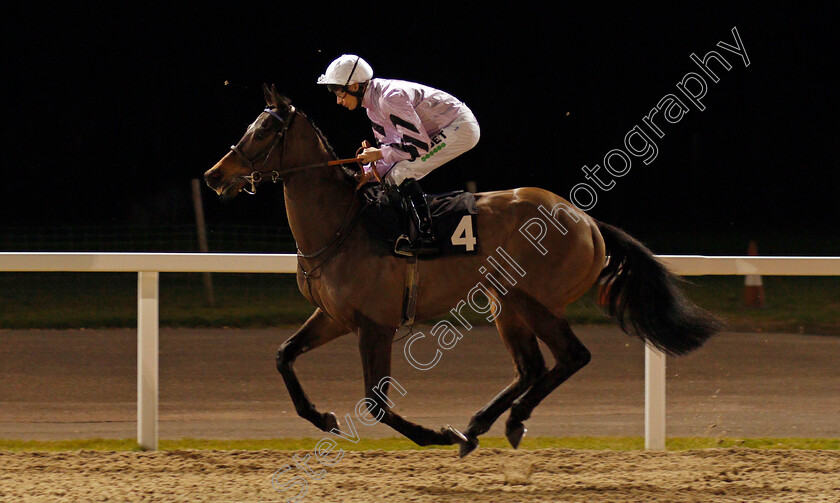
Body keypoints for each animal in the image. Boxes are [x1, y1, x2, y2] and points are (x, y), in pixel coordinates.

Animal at [203, 84, 720, 458]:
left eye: (262, 132)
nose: (214, 176)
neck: (340, 224)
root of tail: (587, 221)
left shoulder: (375, 325)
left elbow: (376, 402)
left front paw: (434, 434)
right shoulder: (334, 316)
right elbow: (283, 356)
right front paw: (323, 417)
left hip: (531, 299)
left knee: (571, 357)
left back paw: (505, 422)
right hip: (503, 302)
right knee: (531, 367)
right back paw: (478, 427)